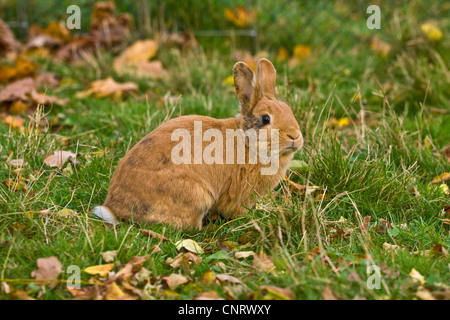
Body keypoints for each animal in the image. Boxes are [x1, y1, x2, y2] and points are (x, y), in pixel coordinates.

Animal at [94, 58, 306, 230]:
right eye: (265, 119)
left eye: (289, 110)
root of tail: (117, 211)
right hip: (196, 196)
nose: (295, 136)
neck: (247, 141)